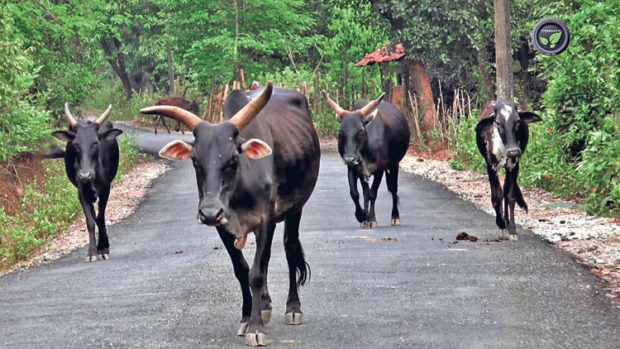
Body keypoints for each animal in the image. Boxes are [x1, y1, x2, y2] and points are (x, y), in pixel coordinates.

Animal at [52, 103, 123, 260]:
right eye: (75, 144)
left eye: (95, 142)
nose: (85, 175)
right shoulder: (81, 192)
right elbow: (90, 221)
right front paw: (92, 252)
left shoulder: (106, 189)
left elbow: (100, 217)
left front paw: (103, 248)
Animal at [140, 82, 320, 346]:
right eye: (195, 160)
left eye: (233, 158)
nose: (209, 212)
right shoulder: (222, 226)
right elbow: (243, 270)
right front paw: (247, 318)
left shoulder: (266, 221)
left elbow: (257, 272)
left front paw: (256, 328)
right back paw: (264, 305)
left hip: (296, 207)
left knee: (289, 249)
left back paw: (293, 308)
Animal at [322, 91, 410, 227]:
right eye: (340, 132)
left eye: (361, 130)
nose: (349, 158)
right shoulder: (353, 169)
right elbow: (355, 193)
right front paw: (362, 216)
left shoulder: (379, 169)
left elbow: (373, 193)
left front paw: (372, 219)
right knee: (366, 192)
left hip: (394, 164)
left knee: (393, 188)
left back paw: (395, 217)